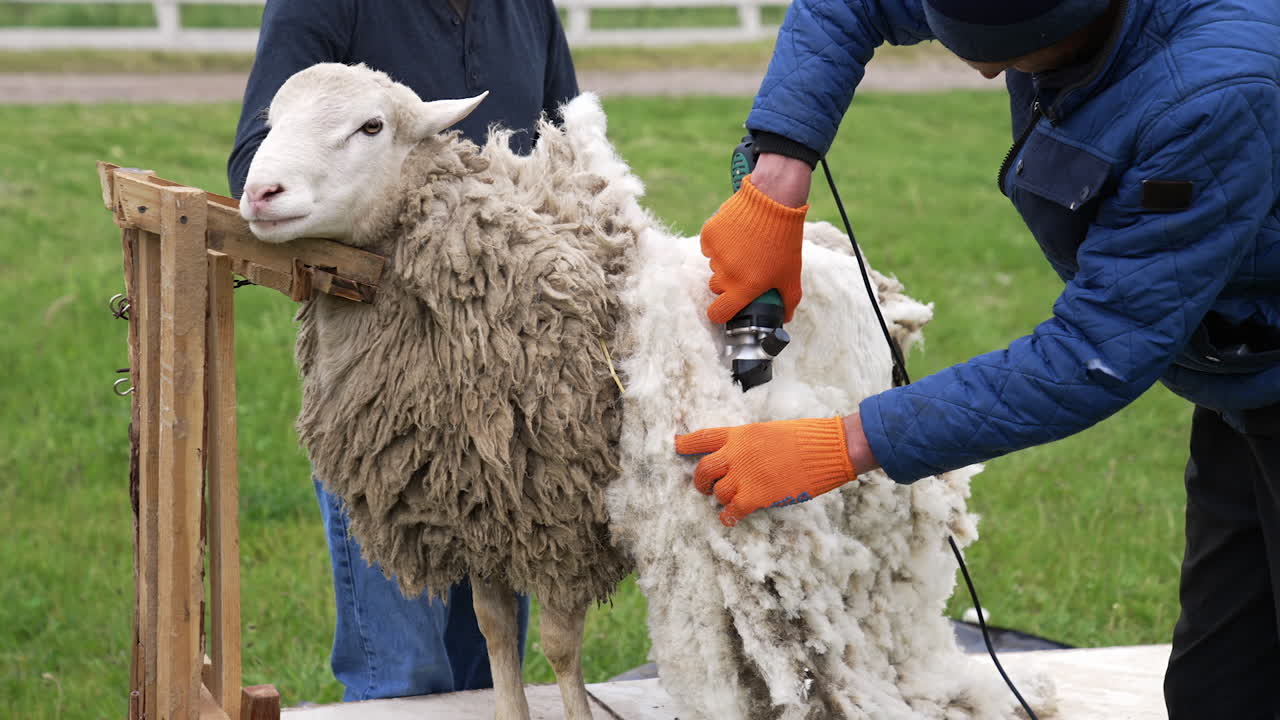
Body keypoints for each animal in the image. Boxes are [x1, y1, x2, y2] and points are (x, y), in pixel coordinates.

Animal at [239, 62, 1055, 720]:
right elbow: (498, 633)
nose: (259, 192)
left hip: (863, 495)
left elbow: (560, 647)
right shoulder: (483, 514)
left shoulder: (562, 522)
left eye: (371, 126)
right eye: (271, 121)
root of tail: (846, 254)